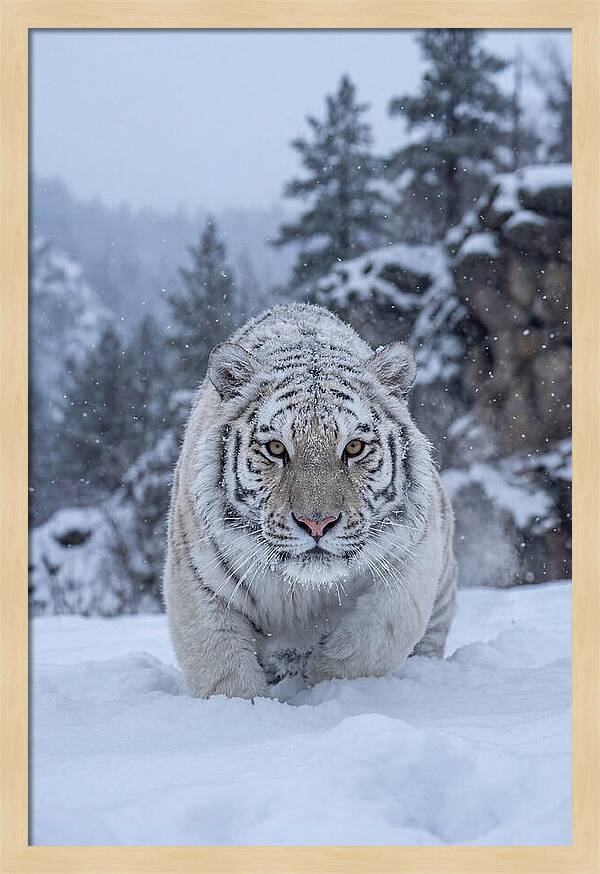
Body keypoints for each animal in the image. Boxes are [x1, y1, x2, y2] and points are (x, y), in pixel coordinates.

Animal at [163, 303, 457, 699]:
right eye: (275, 448)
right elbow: (223, 670)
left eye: (354, 447)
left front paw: (325, 681)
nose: (317, 523)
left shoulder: (411, 559)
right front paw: (245, 708)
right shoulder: (198, 581)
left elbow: (374, 639)